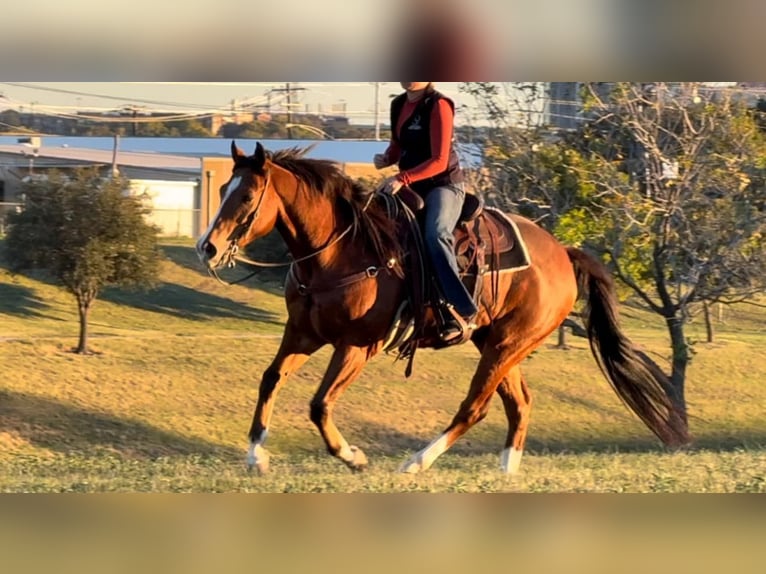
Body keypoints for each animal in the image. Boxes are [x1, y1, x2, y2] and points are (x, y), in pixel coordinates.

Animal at [195, 141, 689, 475]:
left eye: (245, 196)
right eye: (221, 190)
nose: (207, 247)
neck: (342, 249)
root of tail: (563, 253)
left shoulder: (357, 345)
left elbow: (320, 404)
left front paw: (353, 456)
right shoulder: (303, 333)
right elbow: (270, 379)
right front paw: (256, 455)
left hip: (507, 344)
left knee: (475, 408)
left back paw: (417, 462)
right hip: (497, 343)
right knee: (519, 403)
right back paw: (506, 471)